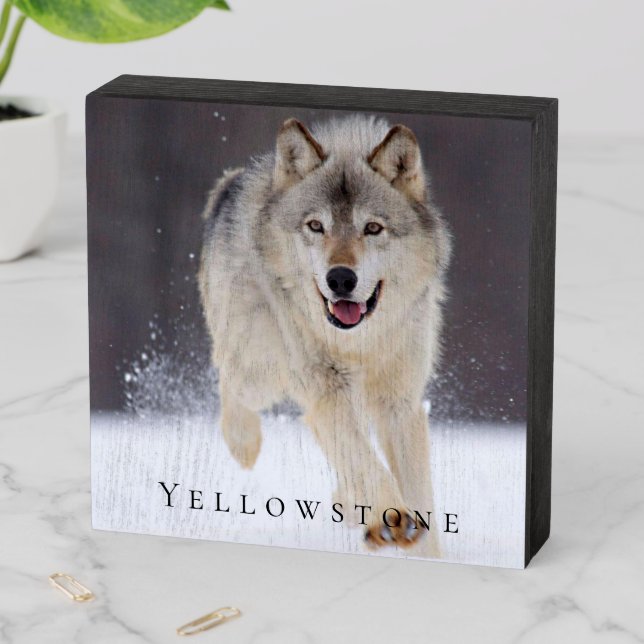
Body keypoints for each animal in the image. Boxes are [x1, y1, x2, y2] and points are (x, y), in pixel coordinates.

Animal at [198, 114, 451, 554]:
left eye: (372, 228)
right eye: (316, 226)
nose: (341, 278)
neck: (357, 344)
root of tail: (231, 183)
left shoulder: (400, 402)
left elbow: (417, 491)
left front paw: (424, 548)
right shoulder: (326, 388)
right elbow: (363, 458)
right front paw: (390, 518)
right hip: (261, 370)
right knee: (231, 383)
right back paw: (244, 444)